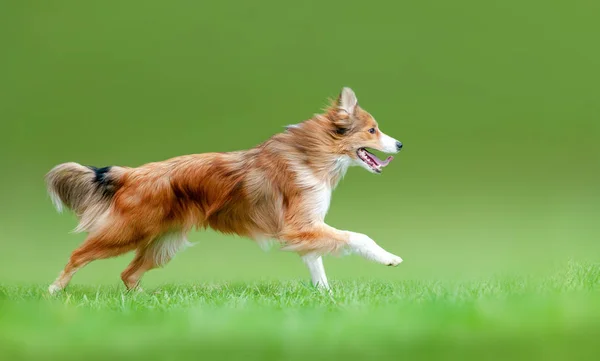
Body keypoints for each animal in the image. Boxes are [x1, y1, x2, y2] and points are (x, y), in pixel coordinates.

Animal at [45, 87, 404, 292]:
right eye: (372, 130)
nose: (400, 144)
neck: (313, 152)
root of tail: (131, 174)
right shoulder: (300, 226)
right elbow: (358, 237)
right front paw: (389, 257)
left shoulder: (305, 228)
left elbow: (316, 263)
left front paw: (326, 297)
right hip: (127, 233)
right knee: (78, 255)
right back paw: (54, 291)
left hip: (163, 243)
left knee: (128, 274)